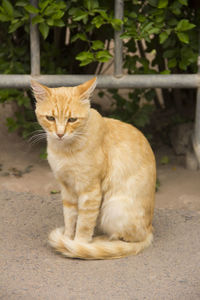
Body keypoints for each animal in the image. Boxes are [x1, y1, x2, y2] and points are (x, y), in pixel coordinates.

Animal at [31, 78, 156, 260]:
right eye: (50, 118)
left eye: (72, 120)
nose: (60, 134)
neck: (64, 151)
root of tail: (149, 230)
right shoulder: (67, 189)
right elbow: (70, 219)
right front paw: (68, 237)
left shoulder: (90, 191)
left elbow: (84, 224)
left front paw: (78, 245)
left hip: (113, 209)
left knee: (124, 238)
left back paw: (100, 240)